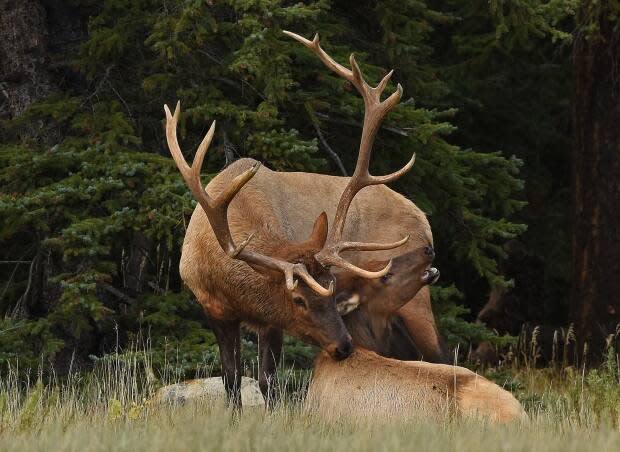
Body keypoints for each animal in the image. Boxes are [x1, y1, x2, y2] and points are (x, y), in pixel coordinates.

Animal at [162, 29, 440, 406]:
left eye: (331, 289)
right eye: (299, 299)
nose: (343, 347)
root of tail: (424, 219)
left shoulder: (271, 320)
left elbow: (267, 381)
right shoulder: (214, 309)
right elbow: (231, 380)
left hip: (415, 301)